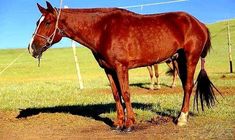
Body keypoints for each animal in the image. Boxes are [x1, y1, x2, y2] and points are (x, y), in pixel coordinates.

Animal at [28, 1, 219, 132]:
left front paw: (129, 124)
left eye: (47, 22)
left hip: (190, 59)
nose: (31, 48)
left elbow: (126, 94)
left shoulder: (121, 67)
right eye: (37, 22)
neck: (103, 29)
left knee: (188, 86)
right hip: (179, 60)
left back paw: (182, 119)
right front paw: (118, 123)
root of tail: (200, 24)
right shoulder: (109, 69)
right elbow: (116, 94)